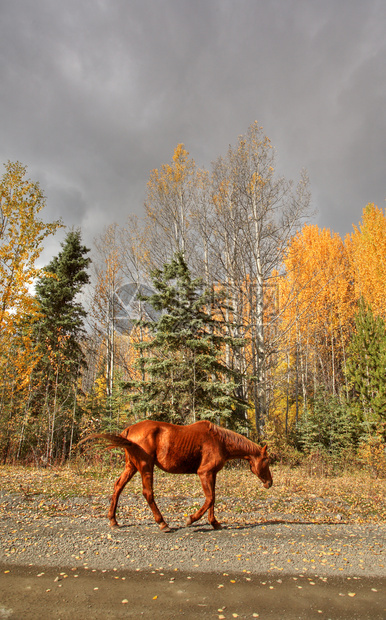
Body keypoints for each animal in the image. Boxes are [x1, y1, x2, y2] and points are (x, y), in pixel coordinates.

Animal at [83, 418, 272, 532]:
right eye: (267, 460)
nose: (269, 483)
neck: (221, 442)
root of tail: (128, 431)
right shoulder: (204, 473)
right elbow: (210, 498)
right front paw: (191, 519)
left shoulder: (212, 474)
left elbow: (213, 498)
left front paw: (215, 522)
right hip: (145, 466)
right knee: (148, 493)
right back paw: (163, 523)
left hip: (131, 466)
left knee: (118, 487)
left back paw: (113, 520)